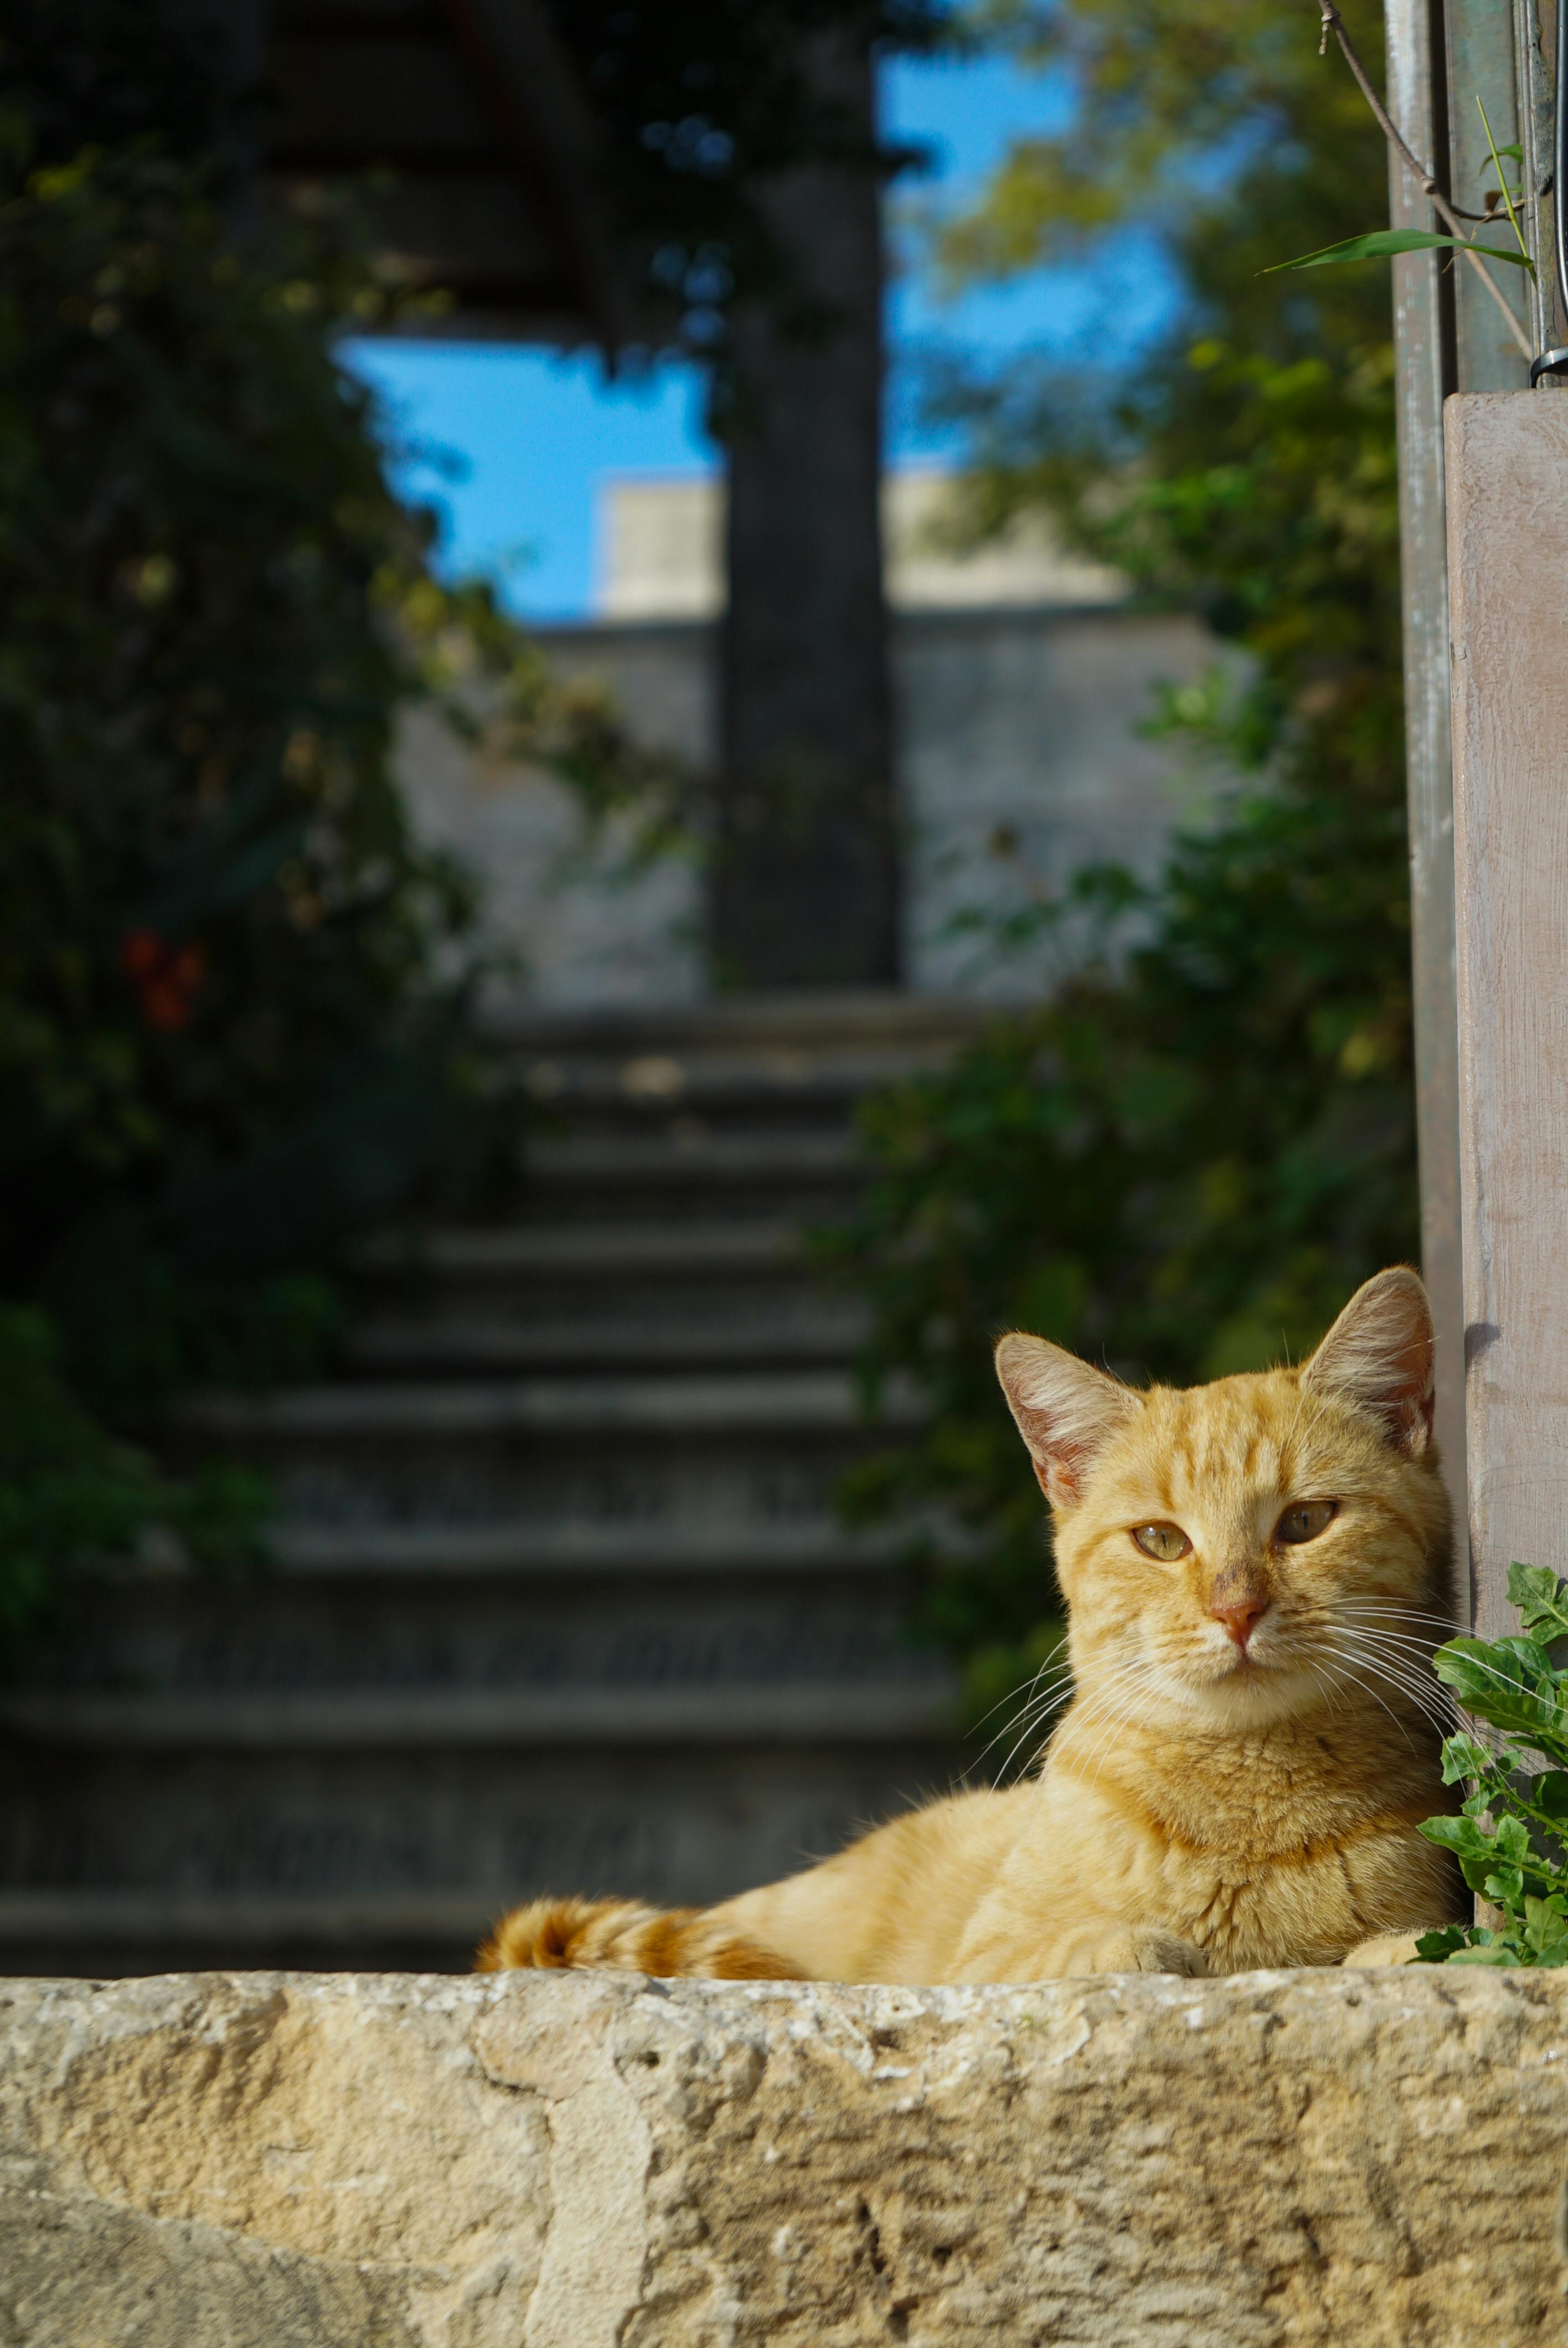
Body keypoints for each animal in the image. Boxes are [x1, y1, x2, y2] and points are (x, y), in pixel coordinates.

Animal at [481, 1268, 1474, 1981]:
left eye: (1305, 1523)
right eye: (1160, 1540)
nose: (1235, 1608)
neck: (1245, 1799)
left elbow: (1407, 1942)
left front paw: (1391, 1953)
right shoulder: (979, 1964)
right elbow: (1069, 1952)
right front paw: (1136, 1945)